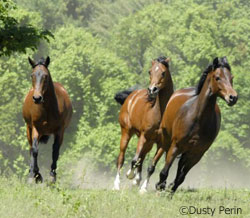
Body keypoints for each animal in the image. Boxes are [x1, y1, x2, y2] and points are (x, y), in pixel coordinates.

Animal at [114, 56, 174, 191]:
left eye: (163, 72)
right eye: (149, 71)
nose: (152, 90)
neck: (160, 114)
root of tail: (130, 97)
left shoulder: (162, 143)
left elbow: (151, 166)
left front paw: (143, 188)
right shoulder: (144, 136)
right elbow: (134, 160)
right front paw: (130, 175)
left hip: (149, 143)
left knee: (142, 157)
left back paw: (137, 180)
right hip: (127, 133)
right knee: (122, 158)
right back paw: (116, 185)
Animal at [147, 57, 237, 193]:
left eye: (231, 77)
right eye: (217, 77)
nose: (233, 97)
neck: (197, 118)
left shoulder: (197, 154)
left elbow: (180, 178)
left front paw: (170, 190)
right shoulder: (175, 146)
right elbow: (164, 172)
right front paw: (160, 187)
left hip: (187, 151)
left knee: (180, 167)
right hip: (166, 140)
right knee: (157, 159)